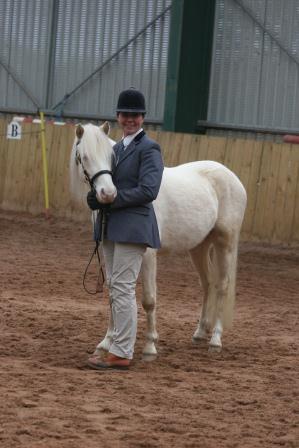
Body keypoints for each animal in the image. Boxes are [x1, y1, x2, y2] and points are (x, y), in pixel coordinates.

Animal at [70, 121, 248, 356]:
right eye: (84, 157)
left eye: (110, 156)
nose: (107, 194)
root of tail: (232, 177)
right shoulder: (109, 250)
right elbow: (112, 295)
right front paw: (106, 343)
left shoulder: (147, 254)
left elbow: (148, 299)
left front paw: (150, 345)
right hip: (199, 247)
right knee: (208, 283)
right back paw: (200, 332)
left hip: (225, 243)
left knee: (222, 285)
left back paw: (215, 340)